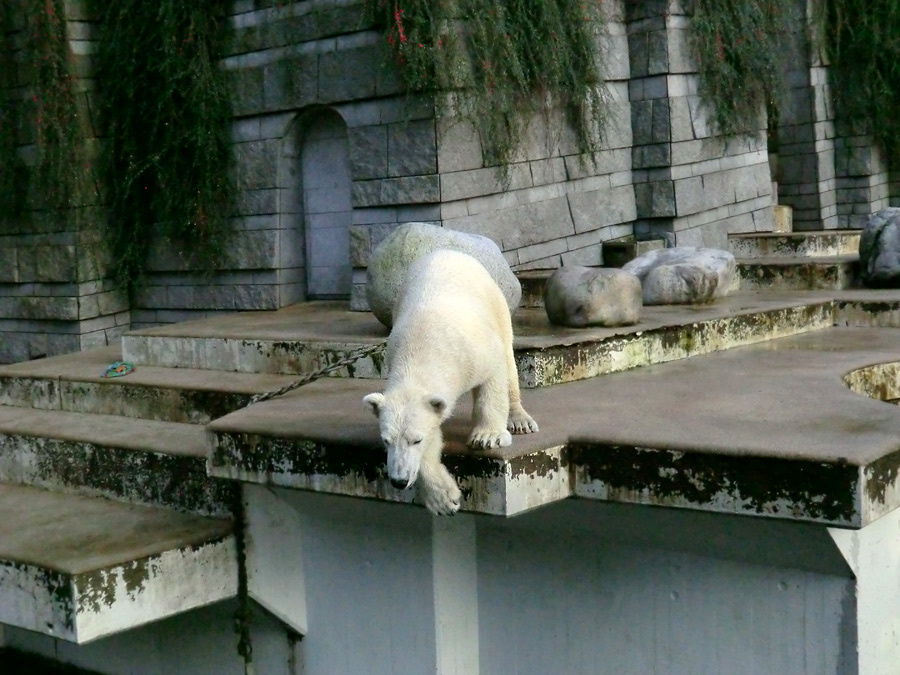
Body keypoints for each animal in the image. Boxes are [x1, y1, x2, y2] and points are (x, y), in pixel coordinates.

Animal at [362, 251, 536, 516]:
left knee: (508, 357)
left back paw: (519, 419)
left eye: (416, 439)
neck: (422, 345)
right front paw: (444, 500)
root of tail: (449, 252)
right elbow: (434, 431)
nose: (399, 481)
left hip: (496, 303)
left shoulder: (473, 349)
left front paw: (487, 437)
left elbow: (494, 376)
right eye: (386, 440)